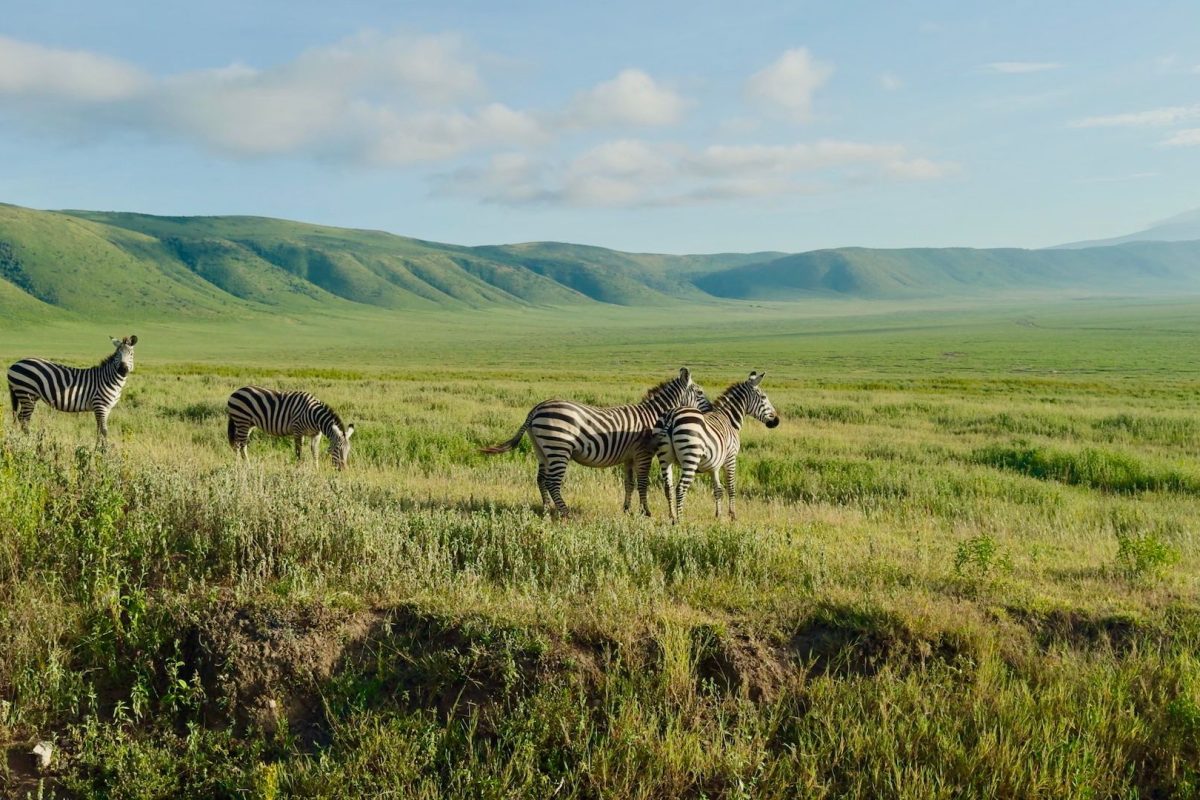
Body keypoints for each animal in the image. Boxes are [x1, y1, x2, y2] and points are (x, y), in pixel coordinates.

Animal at [7, 335, 139, 445]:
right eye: (117, 354)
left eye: (131, 354)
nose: (122, 370)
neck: (109, 379)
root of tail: (14, 364)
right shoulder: (100, 405)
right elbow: (104, 431)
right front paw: (104, 451)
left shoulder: (106, 409)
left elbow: (99, 430)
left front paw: (99, 449)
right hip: (26, 394)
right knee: (23, 420)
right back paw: (31, 441)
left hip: (27, 395)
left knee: (21, 418)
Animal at [226, 386, 356, 470]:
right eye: (337, 449)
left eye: (348, 450)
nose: (343, 469)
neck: (314, 415)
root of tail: (236, 391)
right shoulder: (298, 430)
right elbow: (298, 451)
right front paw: (298, 468)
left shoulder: (316, 435)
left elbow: (315, 452)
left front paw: (316, 469)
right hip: (242, 420)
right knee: (242, 445)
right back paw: (247, 466)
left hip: (247, 424)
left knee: (237, 444)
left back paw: (237, 464)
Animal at [481, 368, 712, 517]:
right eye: (700, 392)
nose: (710, 410)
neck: (653, 416)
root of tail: (536, 408)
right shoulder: (643, 453)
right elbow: (643, 483)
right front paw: (645, 512)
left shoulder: (629, 456)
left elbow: (629, 484)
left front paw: (626, 510)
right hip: (559, 447)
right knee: (553, 482)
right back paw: (566, 513)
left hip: (542, 450)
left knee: (541, 480)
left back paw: (546, 511)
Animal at [649, 371, 779, 524]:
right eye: (764, 397)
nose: (776, 421)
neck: (728, 419)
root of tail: (671, 416)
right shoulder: (730, 458)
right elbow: (731, 486)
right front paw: (732, 515)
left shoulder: (714, 465)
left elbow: (718, 489)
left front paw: (718, 515)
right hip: (691, 457)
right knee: (680, 488)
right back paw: (681, 520)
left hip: (665, 458)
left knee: (668, 487)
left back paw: (673, 517)